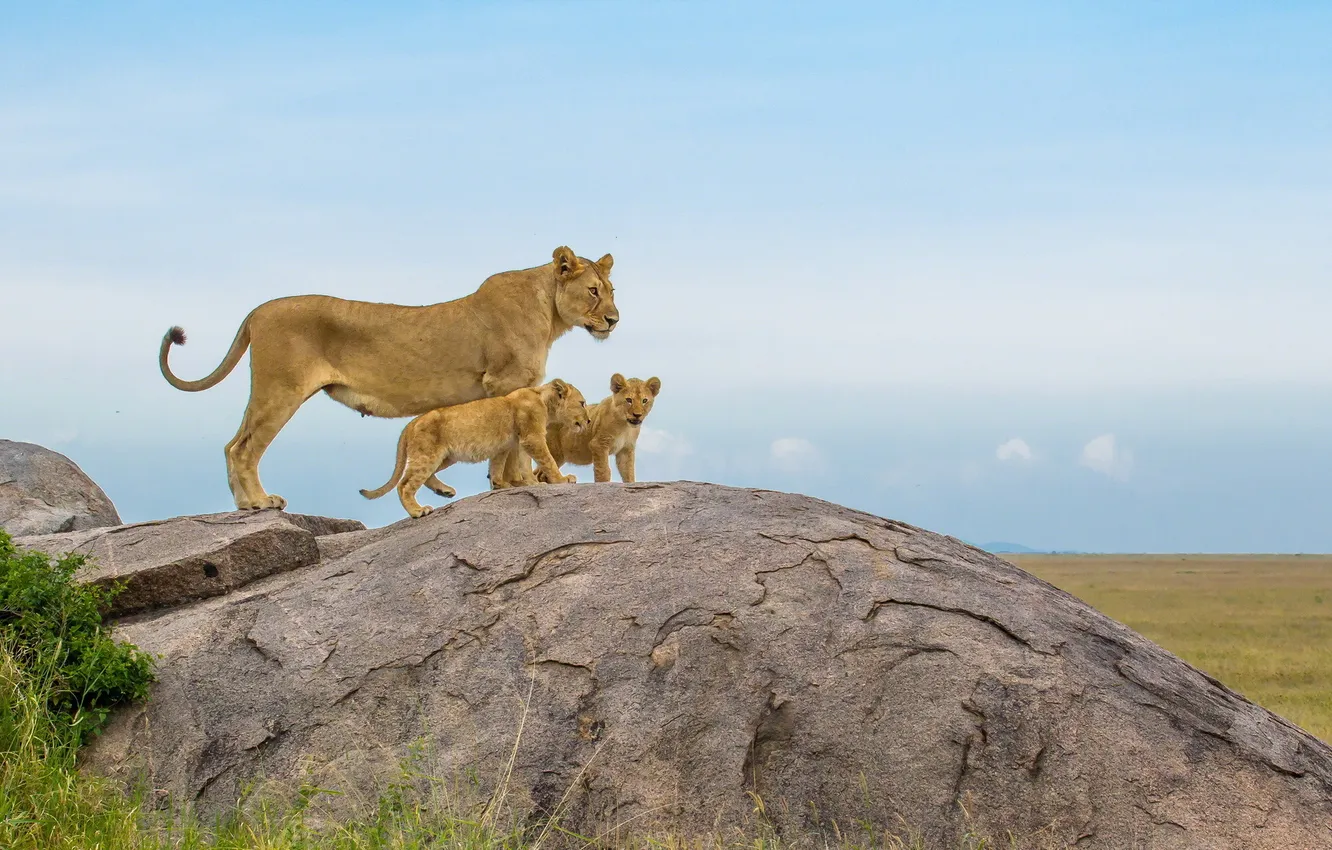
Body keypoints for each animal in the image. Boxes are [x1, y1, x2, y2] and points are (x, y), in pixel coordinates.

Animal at [359, 379, 590, 519]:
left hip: (444, 456)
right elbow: (547, 460)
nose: (588, 421)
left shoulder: (513, 442)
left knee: (426, 476)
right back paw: (418, 511)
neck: (543, 400)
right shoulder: (531, 437)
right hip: (428, 454)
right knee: (405, 484)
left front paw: (520, 484)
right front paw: (561, 480)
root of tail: (412, 423)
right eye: (582, 403)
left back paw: (444, 491)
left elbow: (506, 465)